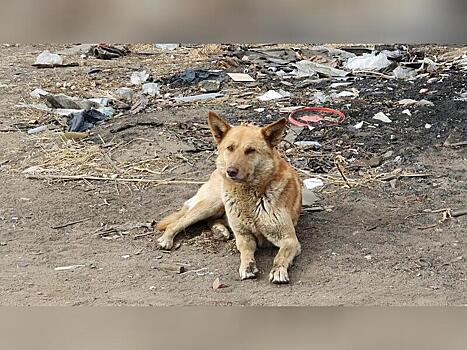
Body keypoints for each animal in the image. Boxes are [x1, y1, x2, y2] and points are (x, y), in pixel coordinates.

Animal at [156, 112, 304, 284]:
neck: (250, 195)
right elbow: (245, 252)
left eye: (250, 150)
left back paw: (220, 229)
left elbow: (280, 256)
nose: (230, 171)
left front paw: (278, 270)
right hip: (212, 204)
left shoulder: (290, 240)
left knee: (212, 220)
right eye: (230, 148)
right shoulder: (243, 236)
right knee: (178, 223)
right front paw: (247, 266)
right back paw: (167, 239)